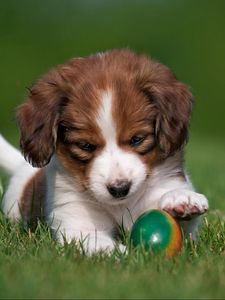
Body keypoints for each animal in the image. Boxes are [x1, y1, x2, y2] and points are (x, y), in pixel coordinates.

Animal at [0, 49, 208, 253]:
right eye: (85, 146)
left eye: (137, 139)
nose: (120, 189)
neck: (121, 205)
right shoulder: (76, 221)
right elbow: (94, 241)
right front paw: (118, 253)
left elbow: (183, 229)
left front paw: (182, 199)